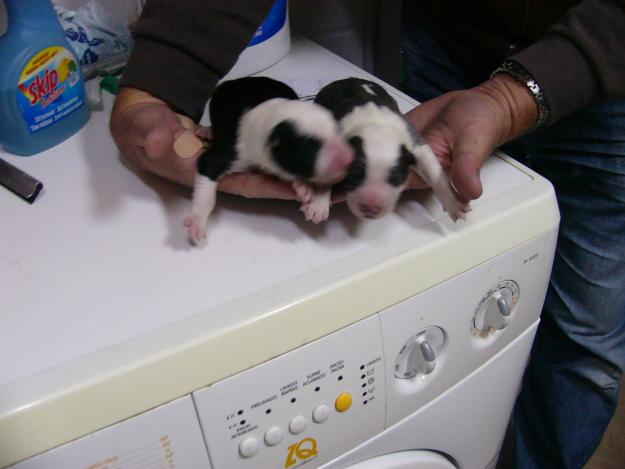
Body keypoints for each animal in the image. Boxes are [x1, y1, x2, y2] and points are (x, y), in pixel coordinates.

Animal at [183, 75, 354, 243]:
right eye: (311, 148)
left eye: (338, 130)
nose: (350, 159)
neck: (265, 117)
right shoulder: (233, 151)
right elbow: (207, 171)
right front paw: (197, 220)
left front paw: (316, 202)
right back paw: (207, 130)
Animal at [312, 78, 468, 219]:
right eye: (354, 175)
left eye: (396, 177)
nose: (371, 209)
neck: (375, 124)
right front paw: (318, 203)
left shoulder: (414, 142)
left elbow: (433, 169)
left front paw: (453, 202)